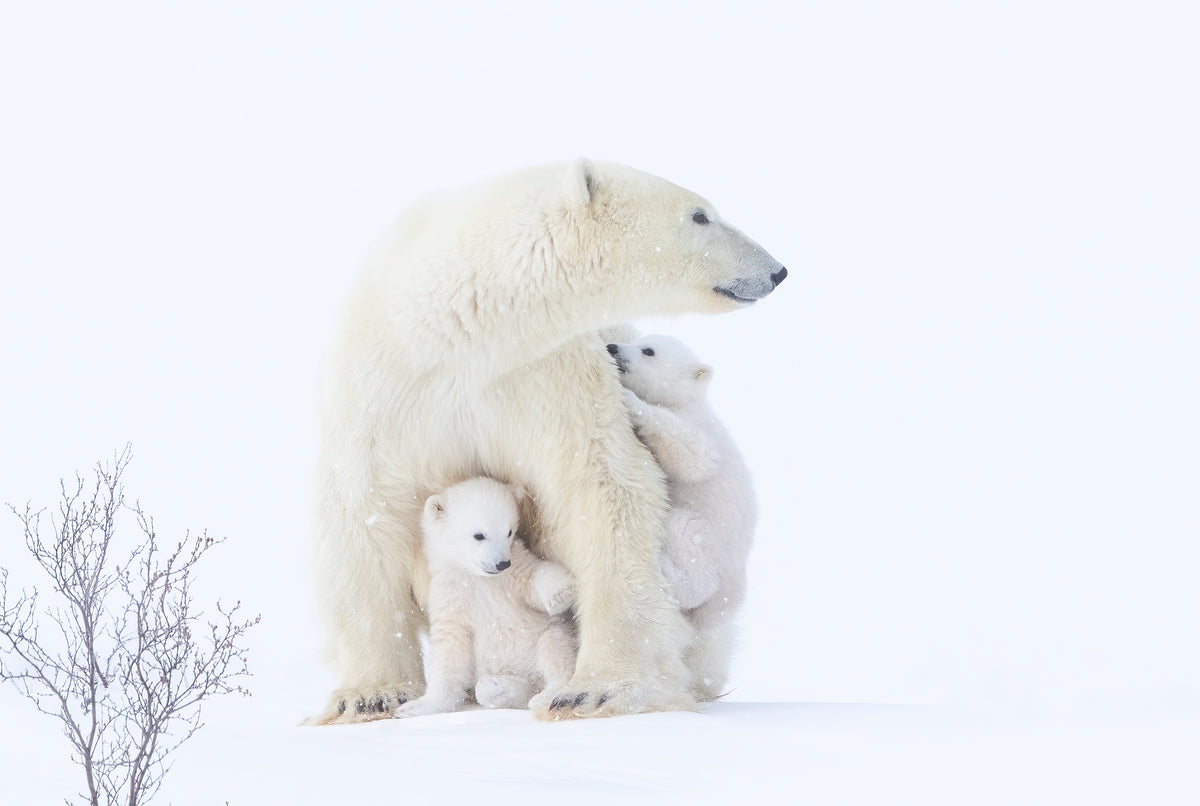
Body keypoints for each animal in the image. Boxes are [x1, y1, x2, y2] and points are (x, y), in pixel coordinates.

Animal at [394, 477, 578, 717]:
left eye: (509, 531)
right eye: (479, 535)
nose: (502, 563)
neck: (478, 578)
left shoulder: (515, 571)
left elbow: (533, 578)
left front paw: (562, 592)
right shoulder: (450, 595)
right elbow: (450, 649)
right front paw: (414, 707)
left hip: (549, 633)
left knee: (555, 649)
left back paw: (545, 695)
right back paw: (500, 688)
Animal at [607, 334, 757, 702]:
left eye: (648, 350)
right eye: (638, 340)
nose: (613, 347)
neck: (690, 402)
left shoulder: (702, 434)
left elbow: (692, 456)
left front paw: (631, 400)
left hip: (712, 540)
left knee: (688, 543)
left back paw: (666, 567)